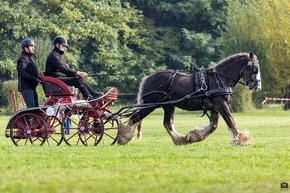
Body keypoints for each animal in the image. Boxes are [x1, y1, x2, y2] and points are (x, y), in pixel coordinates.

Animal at [116, 52, 262, 146]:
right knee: (135, 117)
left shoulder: (215, 108)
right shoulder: (222, 105)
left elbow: (213, 126)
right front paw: (242, 139)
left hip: (168, 106)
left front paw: (194, 136)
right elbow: (231, 122)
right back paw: (123, 137)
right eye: (254, 69)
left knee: (167, 123)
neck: (220, 78)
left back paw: (181, 140)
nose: (258, 86)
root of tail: (148, 78)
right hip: (151, 104)